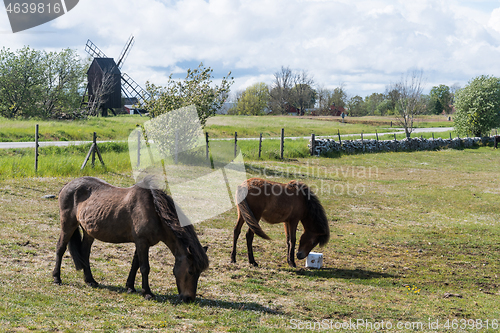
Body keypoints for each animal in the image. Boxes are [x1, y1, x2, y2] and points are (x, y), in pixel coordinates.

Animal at [53, 176, 210, 300]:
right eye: (190, 271)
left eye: (199, 273)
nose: (189, 299)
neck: (154, 212)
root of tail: (67, 185)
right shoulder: (142, 242)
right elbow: (145, 267)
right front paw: (147, 293)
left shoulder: (141, 243)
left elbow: (135, 265)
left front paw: (130, 287)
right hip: (68, 225)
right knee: (60, 248)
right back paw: (56, 278)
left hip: (89, 232)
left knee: (85, 253)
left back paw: (90, 280)